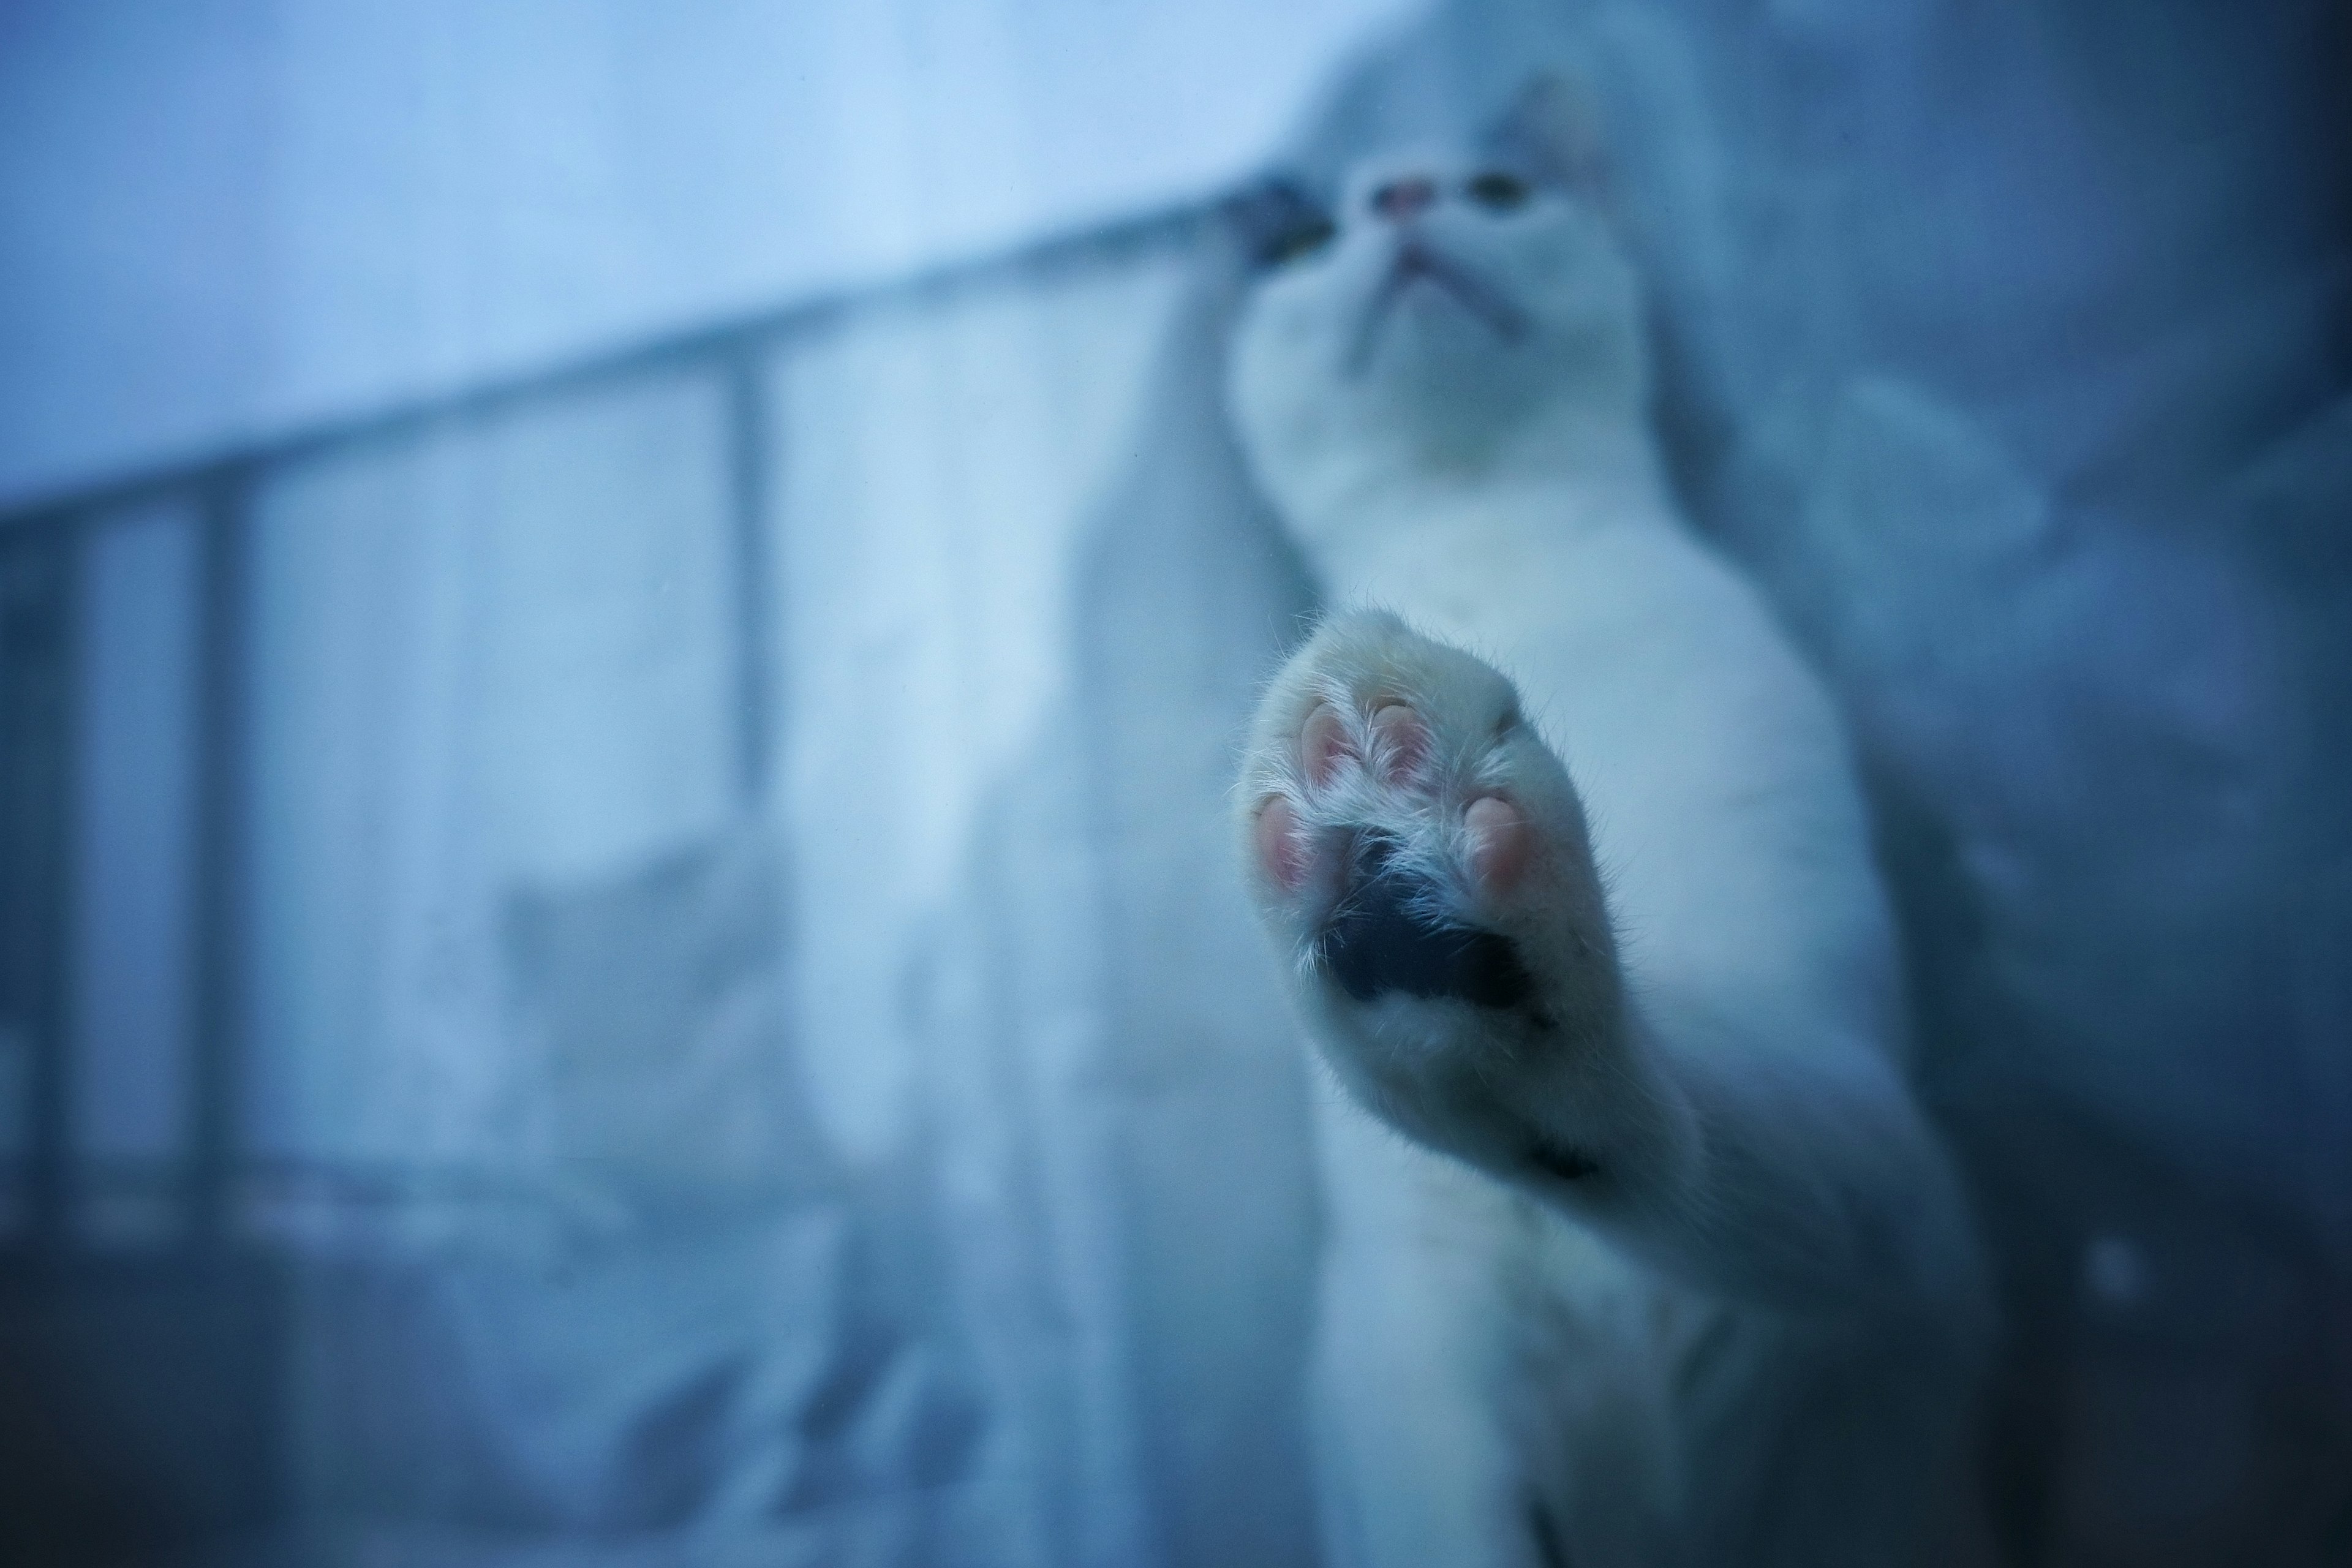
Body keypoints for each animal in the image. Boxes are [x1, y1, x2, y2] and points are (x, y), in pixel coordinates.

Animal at [1232, 119, 1985, 1568]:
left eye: (1498, 188)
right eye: (1304, 242)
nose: (1400, 194)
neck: (1486, 534)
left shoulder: (1864, 1139)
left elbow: (1709, 1153)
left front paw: (1457, 920)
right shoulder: (1408, 1359)